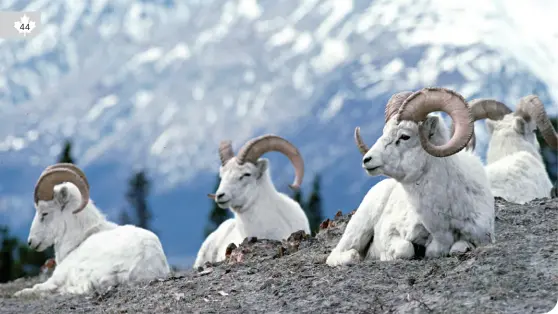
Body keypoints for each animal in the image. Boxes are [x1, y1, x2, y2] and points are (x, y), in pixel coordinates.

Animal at [326, 87, 496, 266]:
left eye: (405, 136)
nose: (367, 160)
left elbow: (459, 248)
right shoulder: (391, 232)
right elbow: (405, 249)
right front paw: (387, 256)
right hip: (359, 227)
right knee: (343, 253)